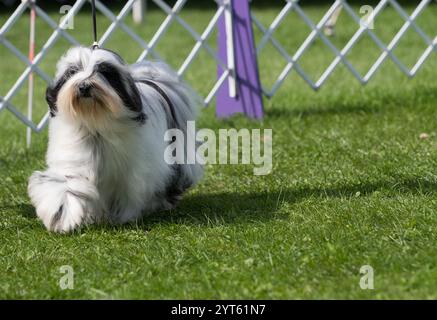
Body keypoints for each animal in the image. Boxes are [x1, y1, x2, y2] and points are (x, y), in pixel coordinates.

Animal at [28, 46, 202, 232]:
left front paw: (122, 217)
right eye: (72, 72)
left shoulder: (131, 173)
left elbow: (127, 194)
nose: (84, 86)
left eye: (104, 72)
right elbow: (67, 186)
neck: (96, 125)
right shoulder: (74, 160)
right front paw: (65, 217)